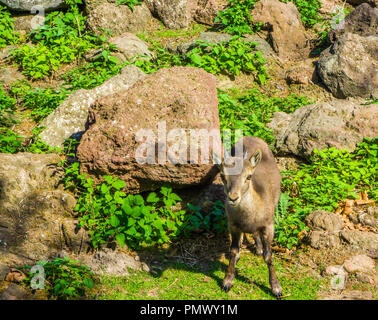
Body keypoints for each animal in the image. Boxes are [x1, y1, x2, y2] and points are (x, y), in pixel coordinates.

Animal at [214, 135, 282, 298]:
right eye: (223, 176)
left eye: (249, 176)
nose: (233, 198)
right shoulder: (233, 225)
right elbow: (233, 251)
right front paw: (227, 282)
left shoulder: (268, 226)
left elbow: (269, 256)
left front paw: (276, 288)